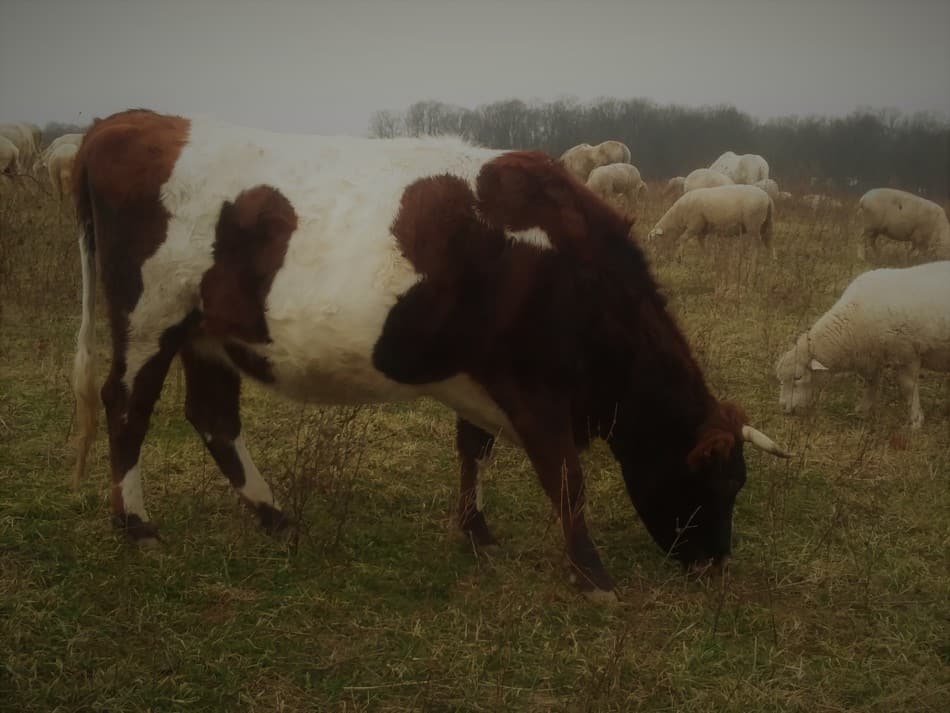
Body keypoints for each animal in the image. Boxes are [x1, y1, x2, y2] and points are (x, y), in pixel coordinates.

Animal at [70, 110, 792, 600]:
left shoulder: (483, 376)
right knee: (127, 407)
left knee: (214, 417)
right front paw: (592, 573)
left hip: (208, 333)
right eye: (723, 483)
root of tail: (128, 121)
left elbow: (473, 448)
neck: (570, 264)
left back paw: (275, 518)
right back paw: (138, 526)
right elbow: (565, 477)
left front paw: (475, 528)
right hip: (151, 315)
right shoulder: (536, 389)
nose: (714, 563)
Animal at [776, 262, 950, 428]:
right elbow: (872, 381)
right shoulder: (873, 355)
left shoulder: (907, 354)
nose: (783, 407)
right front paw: (863, 410)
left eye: (798, 377)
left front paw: (915, 421)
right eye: (781, 380)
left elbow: (908, 388)